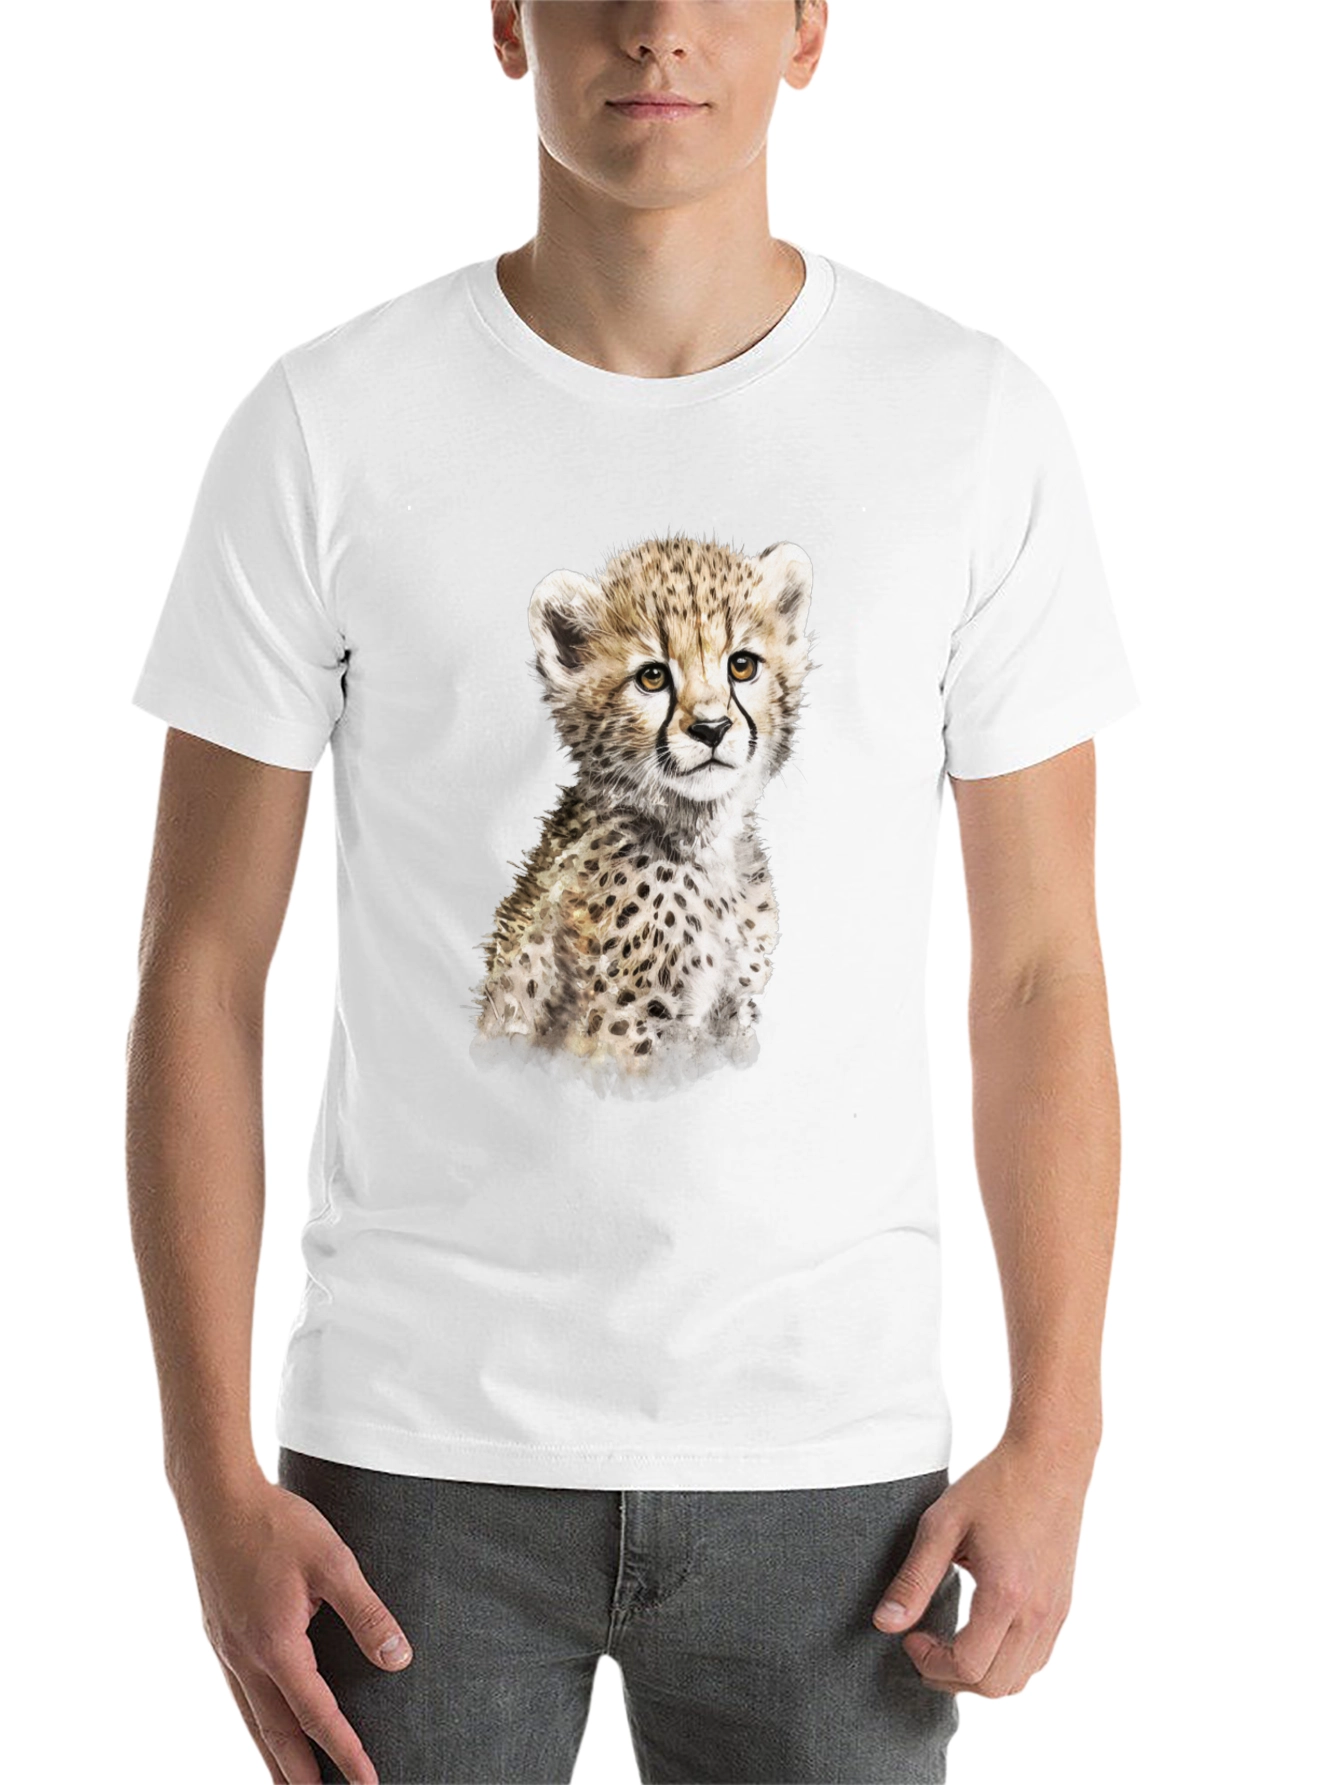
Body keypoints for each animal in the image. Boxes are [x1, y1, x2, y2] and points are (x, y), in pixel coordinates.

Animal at [467, 531, 816, 1098]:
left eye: (742, 666)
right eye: (652, 677)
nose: (712, 728)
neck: (703, 843)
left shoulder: (735, 1011)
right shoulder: (625, 1028)